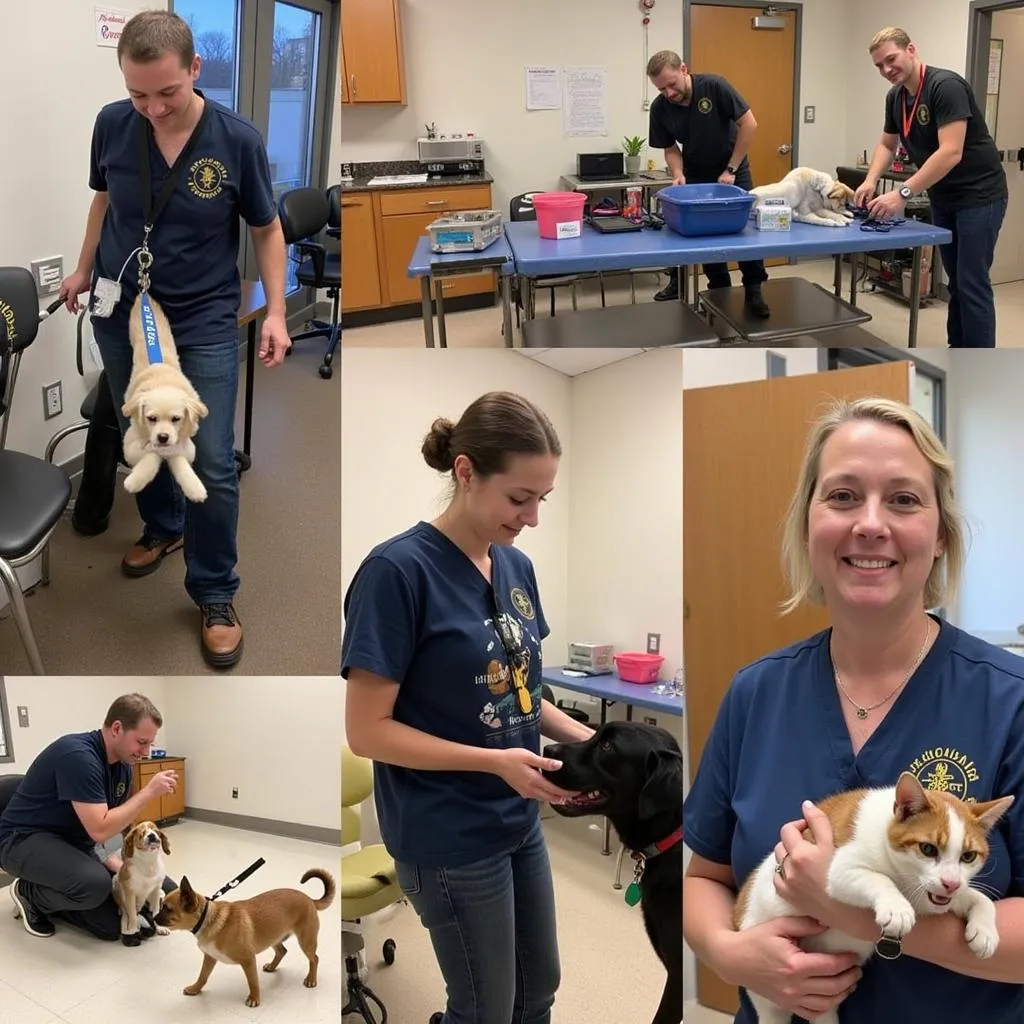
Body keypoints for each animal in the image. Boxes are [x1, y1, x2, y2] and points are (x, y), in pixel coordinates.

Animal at [122, 292, 209, 503]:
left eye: (176, 419)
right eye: (151, 418)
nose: (163, 437)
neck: (162, 380)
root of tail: (143, 294)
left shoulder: (187, 445)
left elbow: (178, 457)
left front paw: (194, 487)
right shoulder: (129, 445)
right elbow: (153, 453)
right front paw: (135, 480)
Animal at [153, 868, 335, 1003]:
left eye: (168, 909)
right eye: (161, 904)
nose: (153, 918)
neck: (207, 918)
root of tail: (309, 899)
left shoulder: (248, 960)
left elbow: (253, 981)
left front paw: (254, 998)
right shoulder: (210, 957)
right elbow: (203, 976)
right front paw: (195, 989)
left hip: (306, 941)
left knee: (314, 959)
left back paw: (311, 979)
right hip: (273, 936)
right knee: (282, 951)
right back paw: (272, 966)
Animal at [733, 770, 1011, 1019]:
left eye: (968, 856)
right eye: (928, 849)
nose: (950, 883)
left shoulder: (933, 897)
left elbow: (979, 898)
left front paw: (985, 930)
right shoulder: (839, 870)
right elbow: (879, 878)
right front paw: (897, 908)